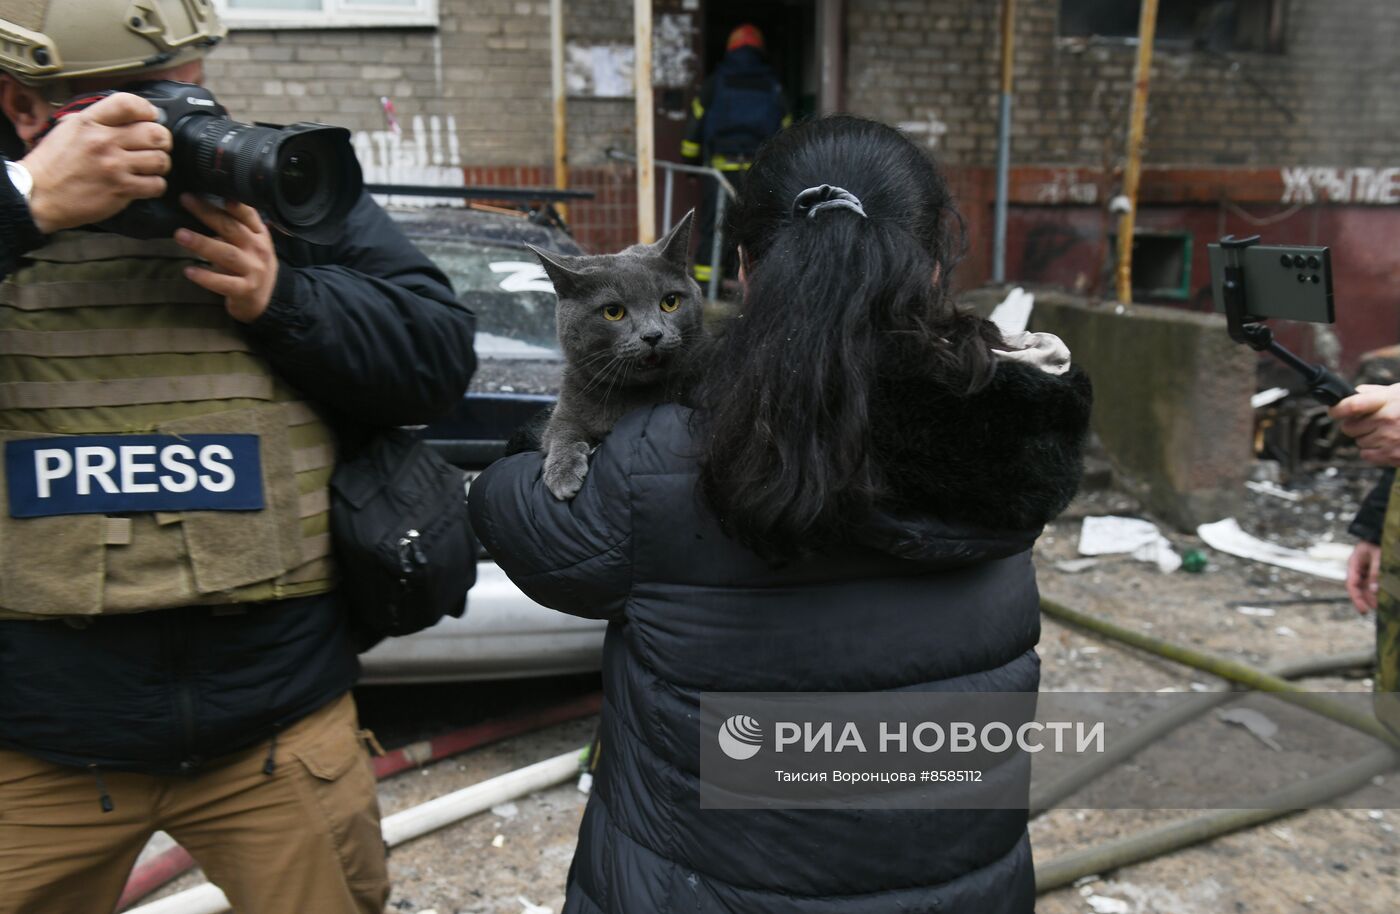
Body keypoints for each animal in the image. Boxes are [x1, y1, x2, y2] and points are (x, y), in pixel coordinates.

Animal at [526, 209, 700, 498]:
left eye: (670, 302)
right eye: (613, 312)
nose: (653, 335)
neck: (631, 398)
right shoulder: (565, 409)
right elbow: (561, 431)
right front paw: (563, 474)